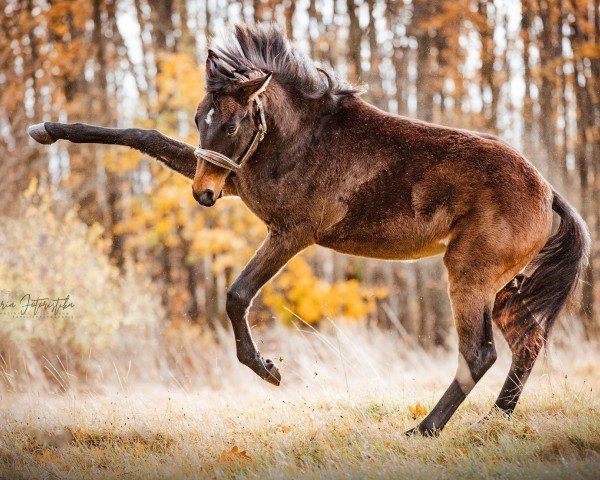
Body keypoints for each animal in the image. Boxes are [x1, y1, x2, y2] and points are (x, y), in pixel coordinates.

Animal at [29, 23, 592, 436]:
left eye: (231, 124)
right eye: (197, 118)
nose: (203, 195)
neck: (299, 138)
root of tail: (548, 193)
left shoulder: (289, 233)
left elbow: (236, 295)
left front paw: (267, 369)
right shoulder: (236, 181)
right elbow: (141, 135)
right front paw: (48, 129)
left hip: (469, 275)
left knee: (480, 353)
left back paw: (425, 430)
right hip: (505, 287)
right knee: (526, 343)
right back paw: (491, 424)